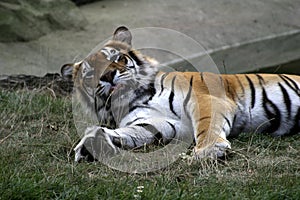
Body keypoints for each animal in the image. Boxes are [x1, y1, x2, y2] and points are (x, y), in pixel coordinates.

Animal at [61, 26, 300, 162]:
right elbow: (130, 132)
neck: (133, 98)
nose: (108, 75)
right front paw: (92, 145)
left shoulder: (204, 98)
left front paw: (209, 151)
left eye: (116, 58)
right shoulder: (158, 122)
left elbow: (206, 125)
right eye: (90, 72)